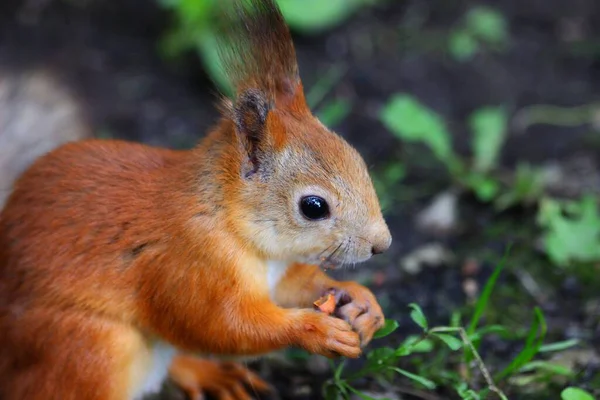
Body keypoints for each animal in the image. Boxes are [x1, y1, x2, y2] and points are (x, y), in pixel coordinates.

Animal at [0, 0, 392, 400]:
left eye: (357, 159)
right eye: (313, 207)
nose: (382, 244)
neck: (229, 221)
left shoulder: (275, 272)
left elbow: (294, 287)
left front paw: (359, 300)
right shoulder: (187, 266)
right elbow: (222, 327)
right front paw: (315, 330)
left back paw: (207, 373)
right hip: (85, 347)